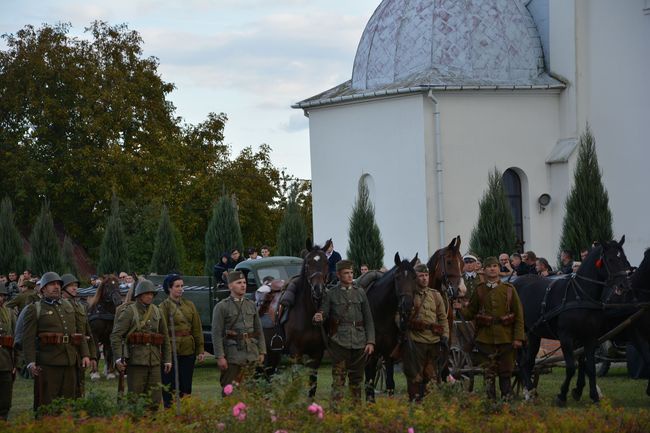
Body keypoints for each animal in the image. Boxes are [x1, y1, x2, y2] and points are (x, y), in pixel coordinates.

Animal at [282, 240, 330, 394]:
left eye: (326, 262)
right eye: (308, 263)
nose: (318, 289)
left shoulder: (317, 354)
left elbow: (313, 384)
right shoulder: (295, 353)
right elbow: (295, 382)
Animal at [362, 251, 418, 400]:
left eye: (414, 277)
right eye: (397, 277)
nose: (407, 305)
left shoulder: (388, 354)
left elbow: (390, 383)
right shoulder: (372, 354)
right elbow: (369, 382)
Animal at [512, 235, 628, 404]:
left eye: (624, 258)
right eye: (611, 259)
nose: (624, 285)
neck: (579, 296)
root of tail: (513, 282)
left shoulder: (589, 337)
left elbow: (589, 366)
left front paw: (592, 395)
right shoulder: (566, 337)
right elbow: (571, 367)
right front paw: (562, 395)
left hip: (533, 334)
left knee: (527, 362)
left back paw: (530, 391)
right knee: (523, 362)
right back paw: (529, 391)